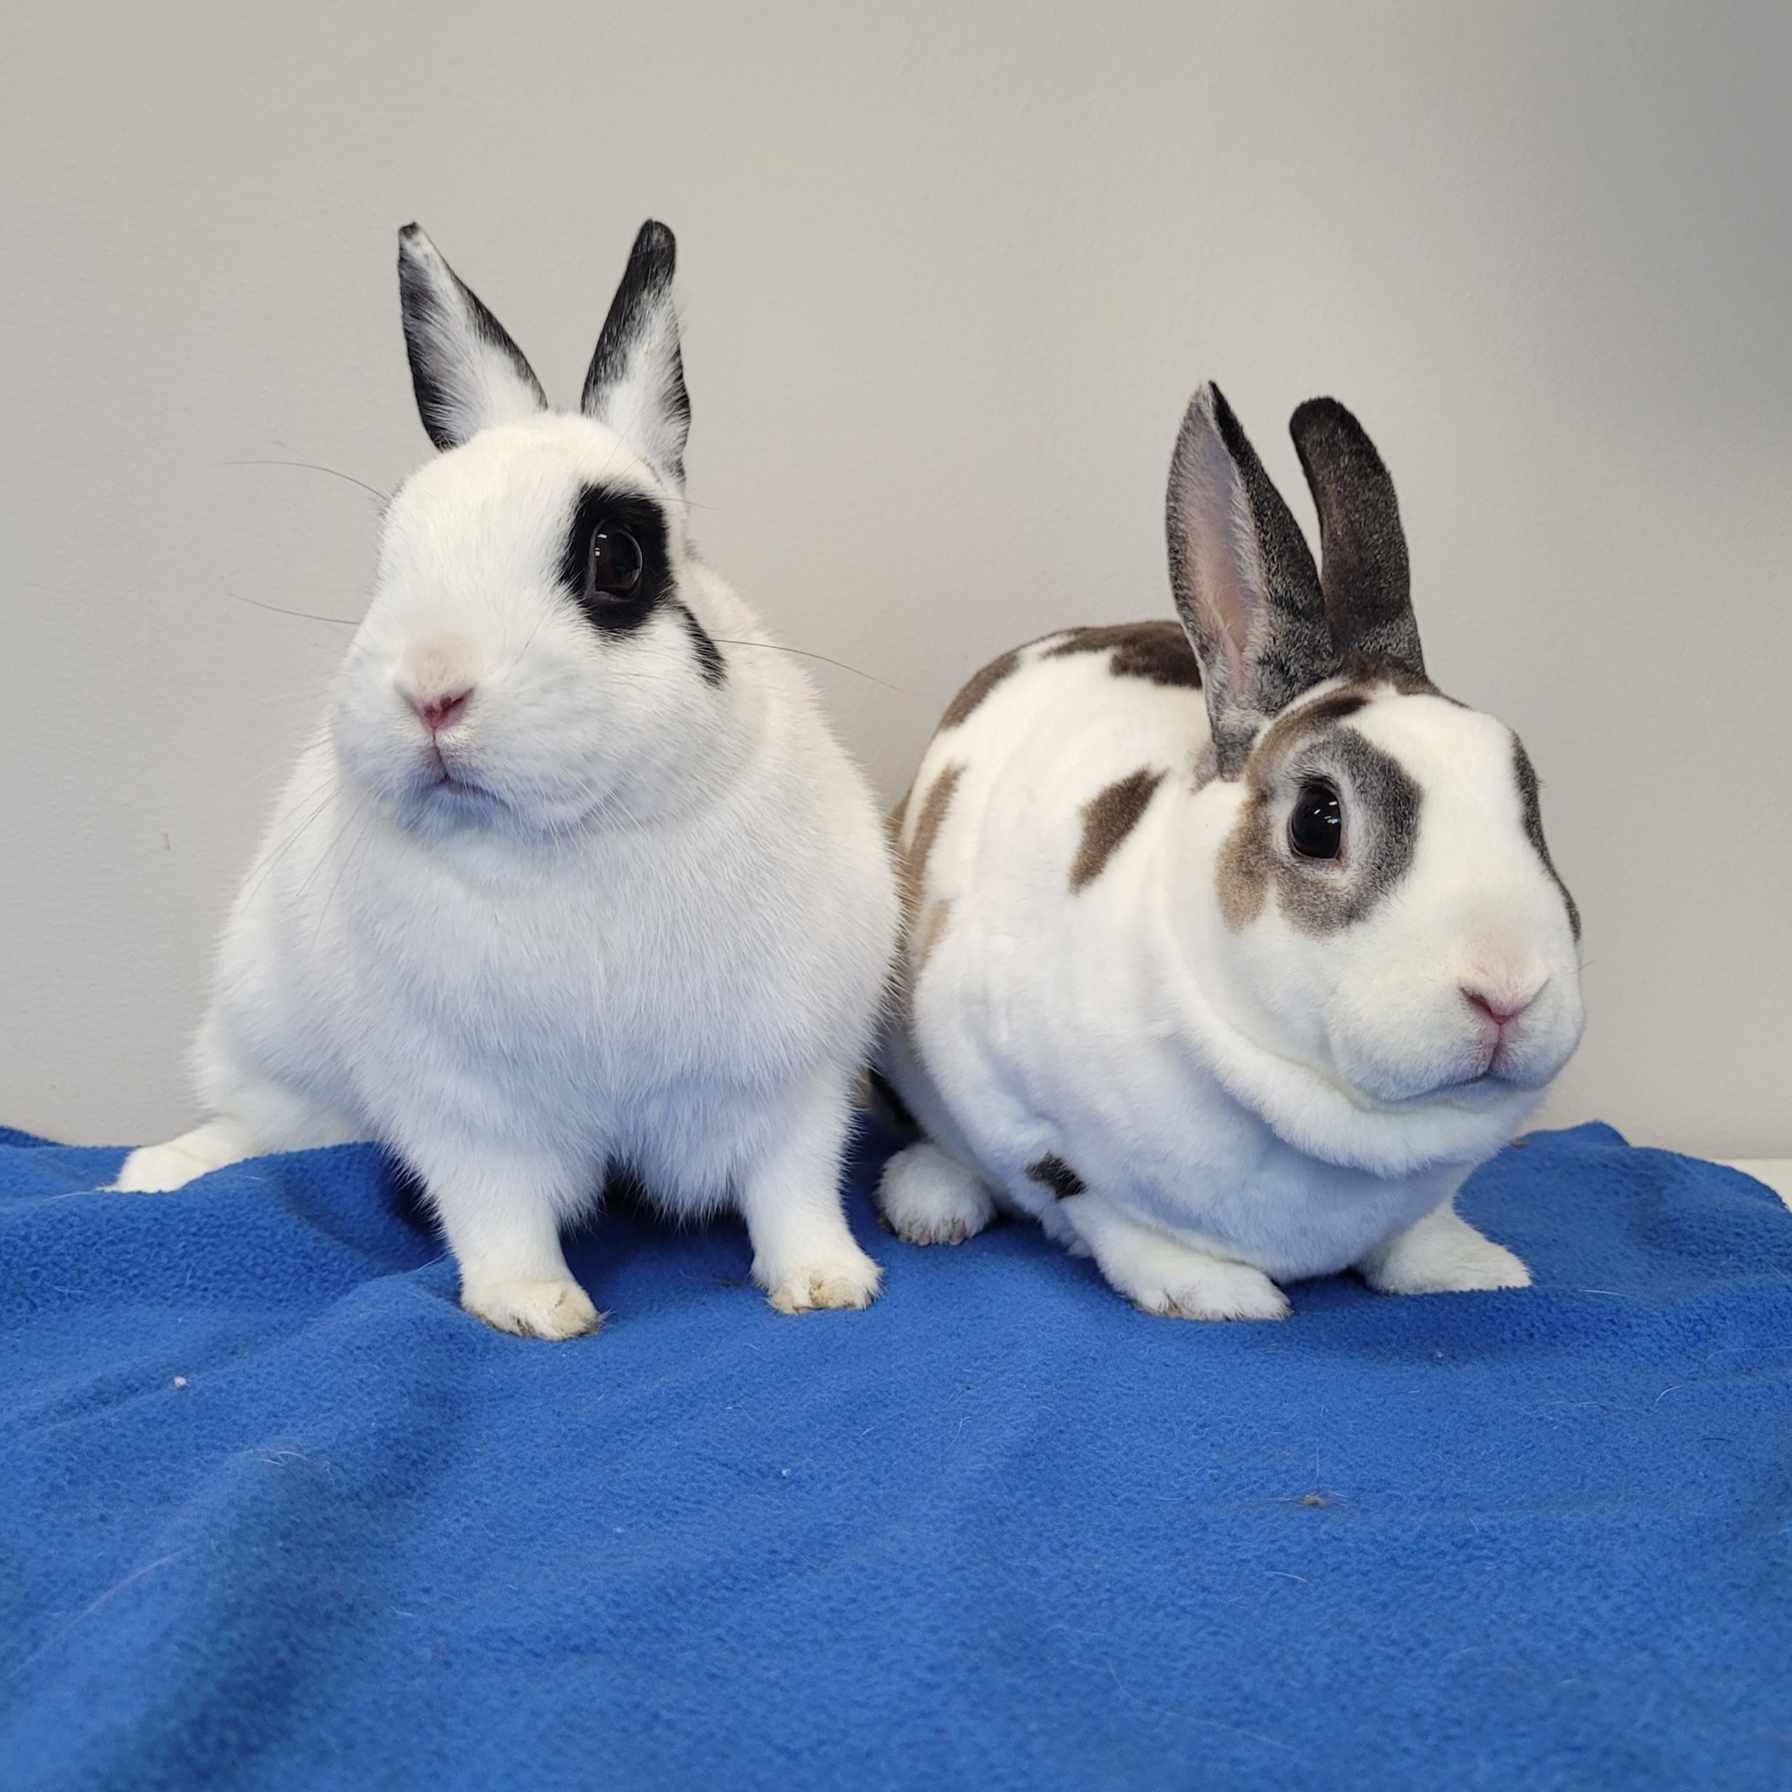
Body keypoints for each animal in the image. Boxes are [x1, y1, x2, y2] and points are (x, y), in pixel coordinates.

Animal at [110, 220, 899, 1339]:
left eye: (617, 556)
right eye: (387, 554)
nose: (431, 691)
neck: (577, 843)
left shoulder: (794, 1080)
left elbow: (795, 1188)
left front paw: (830, 1285)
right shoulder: (466, 1110)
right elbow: (496, 1212)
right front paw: (537, 1309)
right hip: (269, 1044)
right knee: (264, 1126)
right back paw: (155, 1170)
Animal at [877, 383, 1584, 1319]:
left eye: (1528, 793)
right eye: (1318, 820)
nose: (1507, 992)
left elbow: (1416, 1230)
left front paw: (1470, 1269)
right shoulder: (1014, 1104)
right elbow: (1095, 1206)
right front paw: (1216, 1292)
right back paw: (930, 1203)